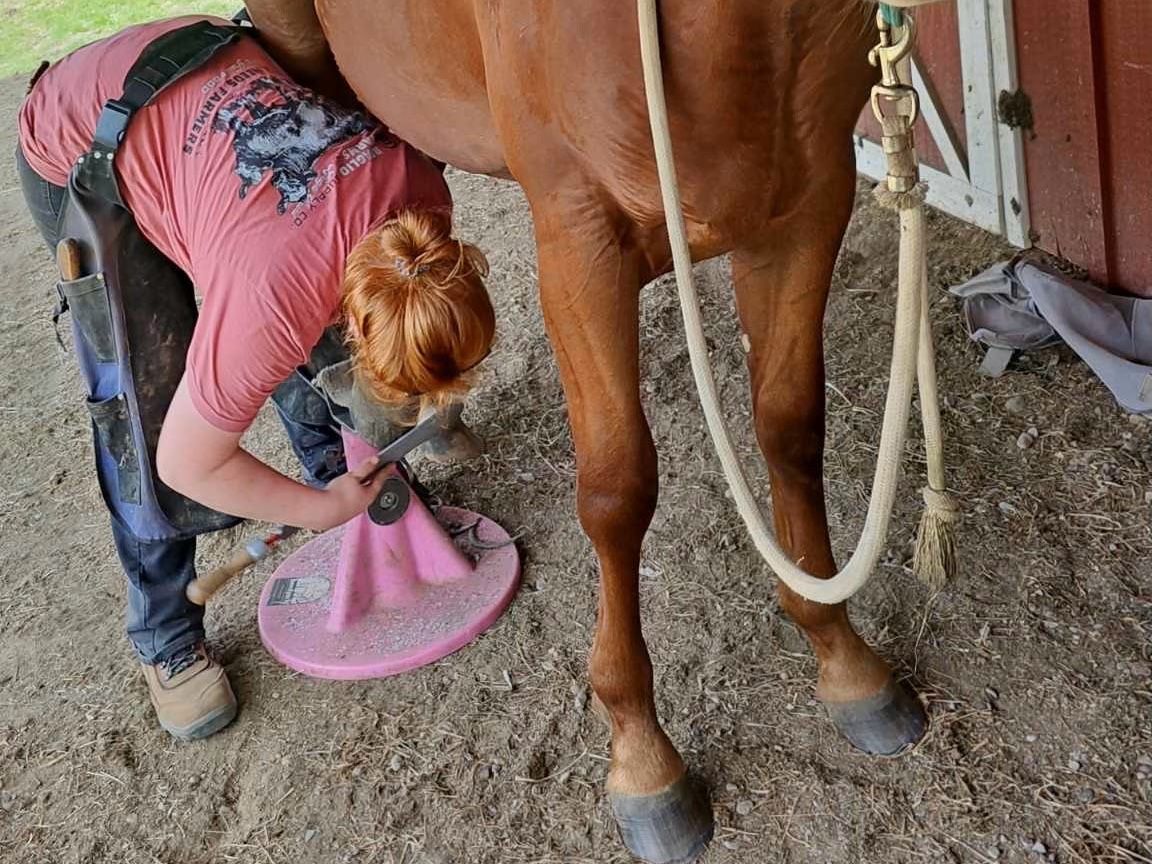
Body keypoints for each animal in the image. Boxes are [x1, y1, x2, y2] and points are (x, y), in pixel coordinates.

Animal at [242, 2, 942, 861]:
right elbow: (617, 491)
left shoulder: (805, 208)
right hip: (308, 63)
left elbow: (790, 428)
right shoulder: (580, 252)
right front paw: (643, 759)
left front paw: (845, 662)